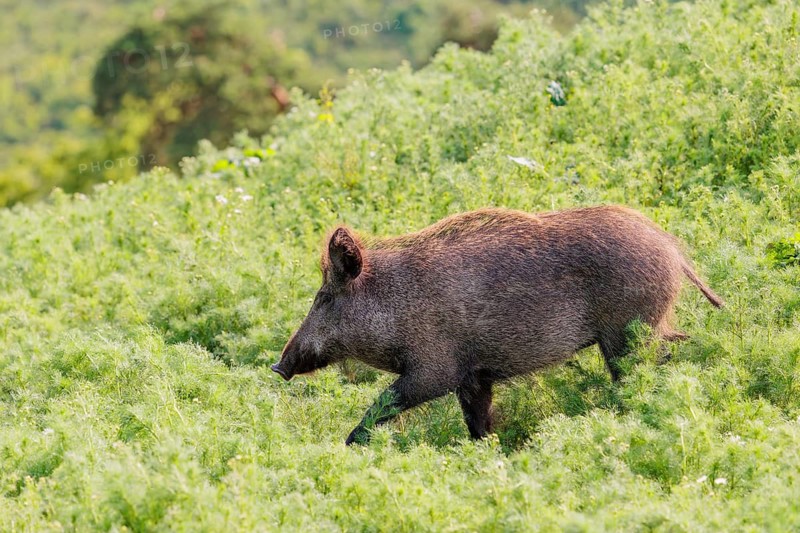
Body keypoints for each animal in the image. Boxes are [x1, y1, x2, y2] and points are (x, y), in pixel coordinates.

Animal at [271, 206, 724, 445]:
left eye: (324, 297)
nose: (278, 365)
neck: (396, 305)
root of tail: (672, 251)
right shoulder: (474, 377)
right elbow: (478, 423)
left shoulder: (436, 369)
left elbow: (382, 403)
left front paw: (347, 445)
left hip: (627, 334)